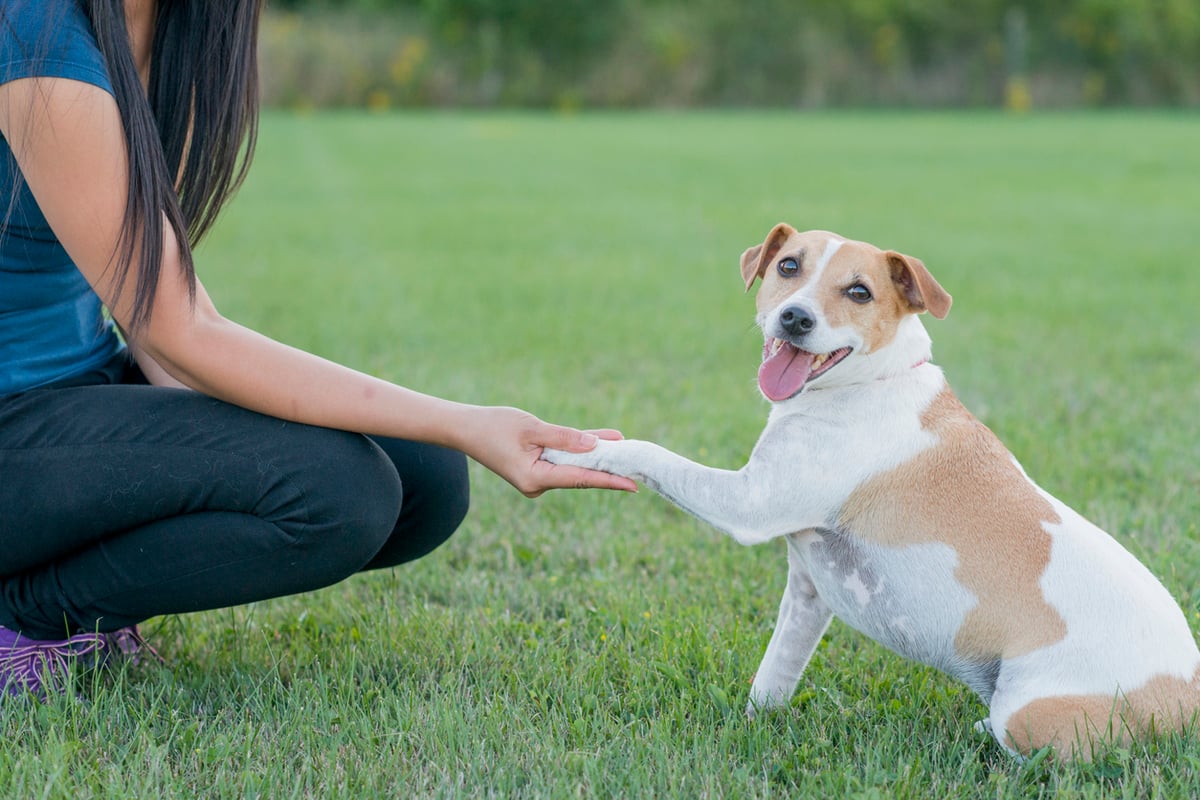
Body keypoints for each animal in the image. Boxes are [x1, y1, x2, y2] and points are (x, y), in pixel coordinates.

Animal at [549, 224, 1200, 758]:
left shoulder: (749, 503)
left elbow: (650, 453)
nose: (796, 319)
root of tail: (1187, 701)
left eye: (859, 292)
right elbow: (775, 674)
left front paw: (577, 449)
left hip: (1032, 713)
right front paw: (755, 723)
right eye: (788, 266)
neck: (867, 383)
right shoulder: (808, 592)